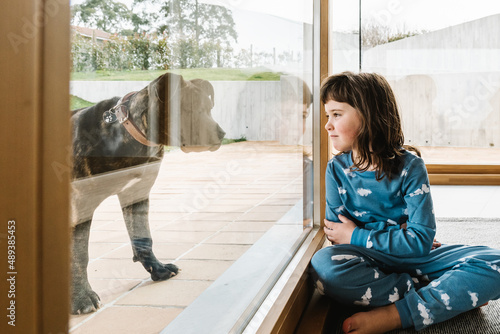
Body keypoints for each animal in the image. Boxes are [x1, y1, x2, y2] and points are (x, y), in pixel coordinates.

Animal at [70, 72, 225, 314]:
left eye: (209, 107)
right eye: (191, 107)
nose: (222, 134)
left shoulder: (137, 195)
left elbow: (143, 238)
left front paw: (158, 269)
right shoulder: (81, 204)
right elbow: (79, 253)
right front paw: (81, 297)